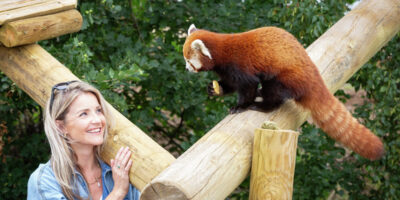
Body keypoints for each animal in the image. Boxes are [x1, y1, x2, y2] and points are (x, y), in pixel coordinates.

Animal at [184, 24, 384, 160]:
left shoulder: (240, 66)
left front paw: (240, 106)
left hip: (284, 77)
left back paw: (262, 105)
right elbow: (229, 84)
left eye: (189, 61)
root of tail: (313, 75)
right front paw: (214, 89)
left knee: (274, 93)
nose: (186, 69)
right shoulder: (227, 71)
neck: (222, 52)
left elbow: (247, 87)